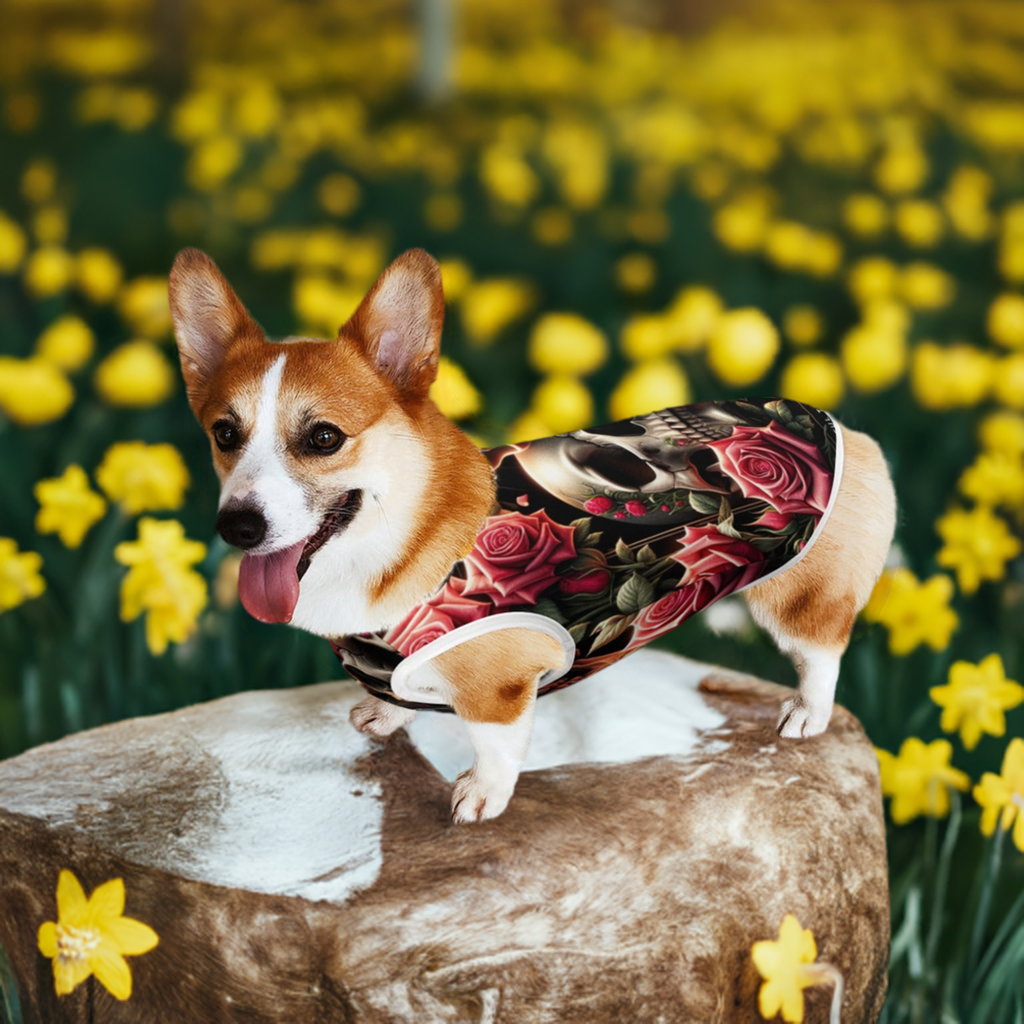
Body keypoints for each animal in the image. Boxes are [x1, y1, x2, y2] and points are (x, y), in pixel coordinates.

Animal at [167, 245, 897, 823]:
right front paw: (388, 717)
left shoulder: (499, 686)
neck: (401, 539)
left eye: (323, 438)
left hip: (795, 596)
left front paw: (481, 797)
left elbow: (496, 744)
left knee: (822, 652)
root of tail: (839, 425)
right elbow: (401, 695)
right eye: (224, 434)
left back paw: (806, 715)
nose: (237, 525)